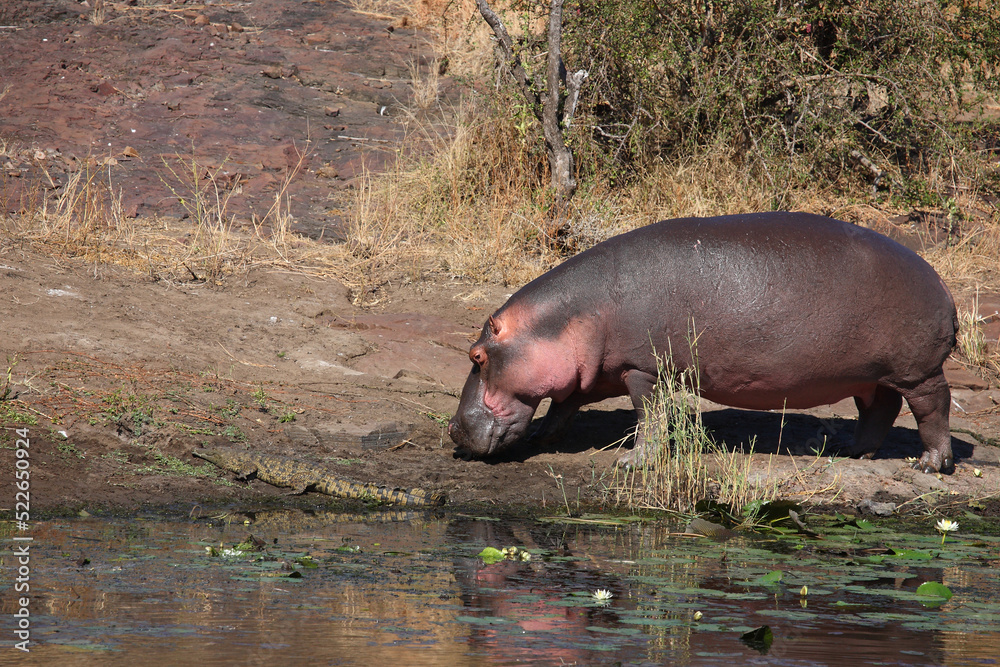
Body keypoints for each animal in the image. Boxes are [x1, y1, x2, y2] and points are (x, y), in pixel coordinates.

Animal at [448, 212, 959, 473]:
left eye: (476, 355)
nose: (452, 430)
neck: (570, 315)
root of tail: (940, 282)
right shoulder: (590, 373)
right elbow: (563, 405)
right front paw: (545, 436)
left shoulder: (643, 369)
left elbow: (650, 418)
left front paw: (633, 462)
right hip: (872, 376)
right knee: (880, 409)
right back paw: (853, 453)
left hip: (918, 371)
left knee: (933, 407)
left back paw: (930, 464)